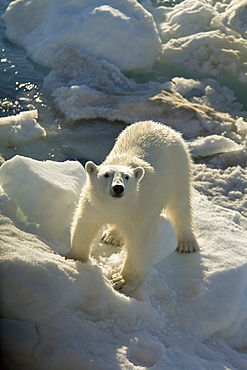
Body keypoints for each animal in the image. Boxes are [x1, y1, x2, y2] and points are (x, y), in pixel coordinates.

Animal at [67, 120, 199, 292]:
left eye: (127, 177)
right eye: (106, 175)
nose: (118, 188)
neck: (119, 206)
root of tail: (160, 125)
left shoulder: (142, 208)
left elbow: (140, 242)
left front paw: (122, 281)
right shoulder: (94, 204)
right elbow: (85, 225)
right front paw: (75, 259)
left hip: (178, 166)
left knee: (179, 205)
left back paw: (187, 243)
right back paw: (112, 237)